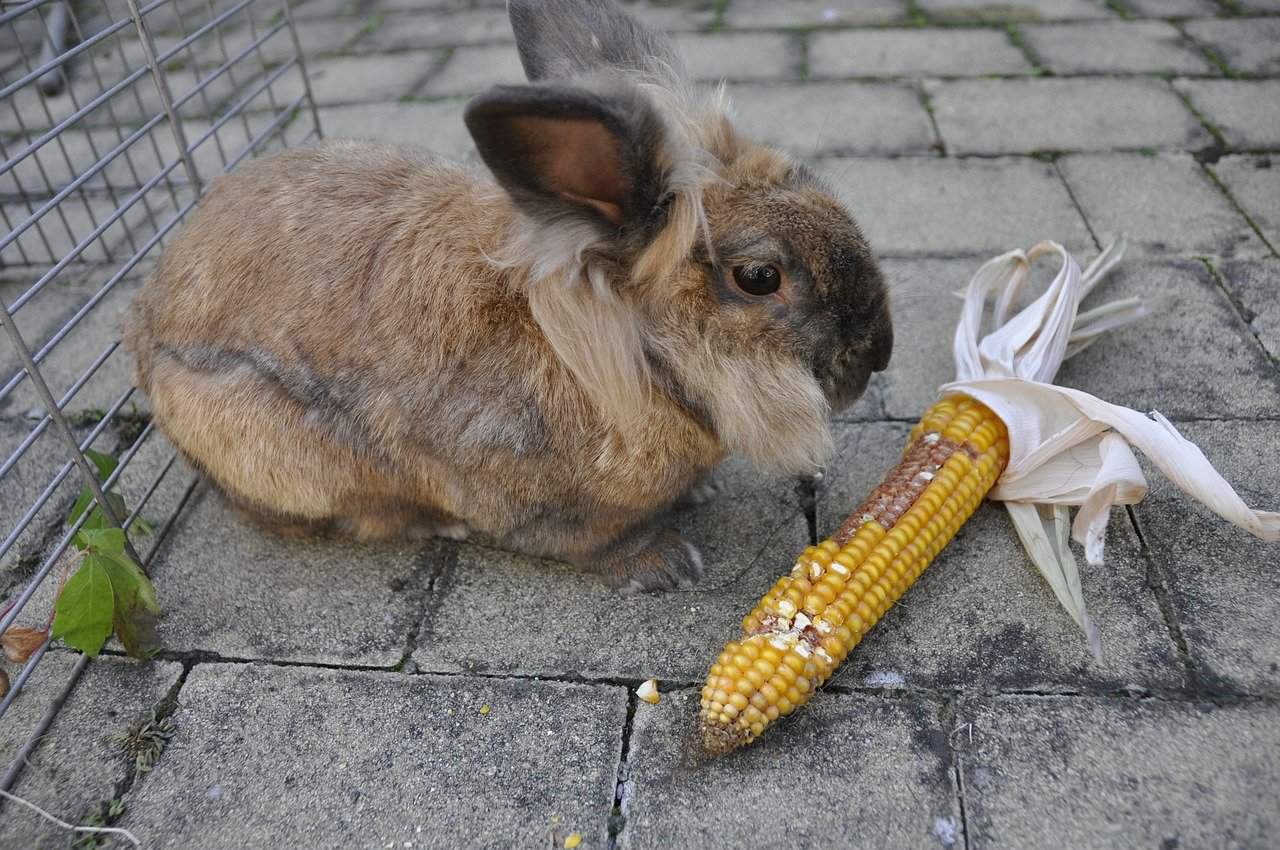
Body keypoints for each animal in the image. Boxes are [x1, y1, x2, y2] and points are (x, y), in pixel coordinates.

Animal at [124, 0, 896, 591]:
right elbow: (586, 543)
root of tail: (144, 330)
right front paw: (665, 563)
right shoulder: (533, 502)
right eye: (759, 277)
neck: (623, 358)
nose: (878, 354)